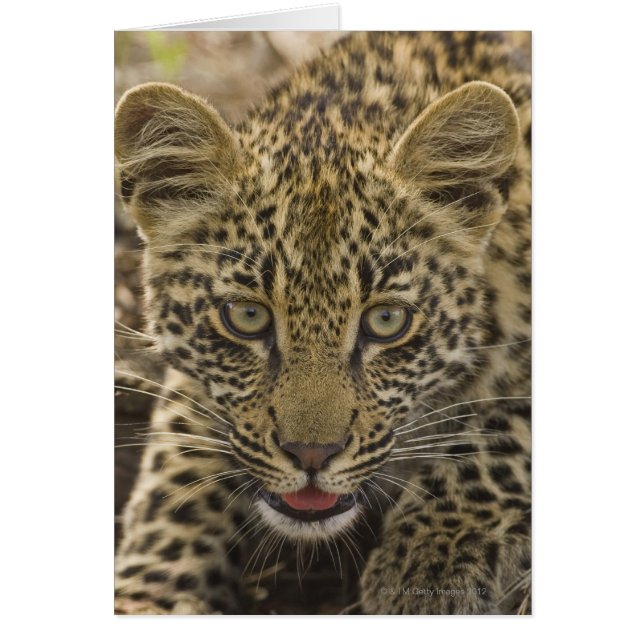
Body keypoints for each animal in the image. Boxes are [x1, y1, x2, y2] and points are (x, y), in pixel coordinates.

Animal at [114, 31, 531, 615]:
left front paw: (431, 560)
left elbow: (504, 435)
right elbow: (175, 475)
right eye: (247, 317)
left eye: (386, 320)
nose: (312, 455)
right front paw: (148, 594)